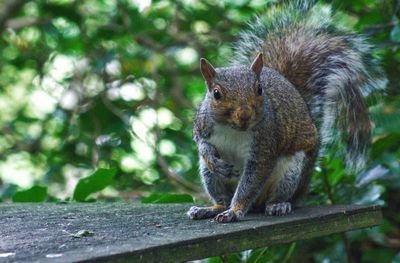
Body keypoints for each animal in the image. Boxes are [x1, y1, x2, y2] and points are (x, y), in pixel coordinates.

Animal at [186, 0, 386, 224]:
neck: (233, 128)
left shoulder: (264, 144)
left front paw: (235, 211)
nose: (245, 115)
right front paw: (212, 159)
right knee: (221, 196)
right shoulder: (202, 127)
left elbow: (250, 183)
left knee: (271, 198)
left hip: (291, 171)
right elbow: (202, 145)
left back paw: (277, 205)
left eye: (259, 89)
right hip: (211, 177)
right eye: (216, 94)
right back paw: (210, 208)